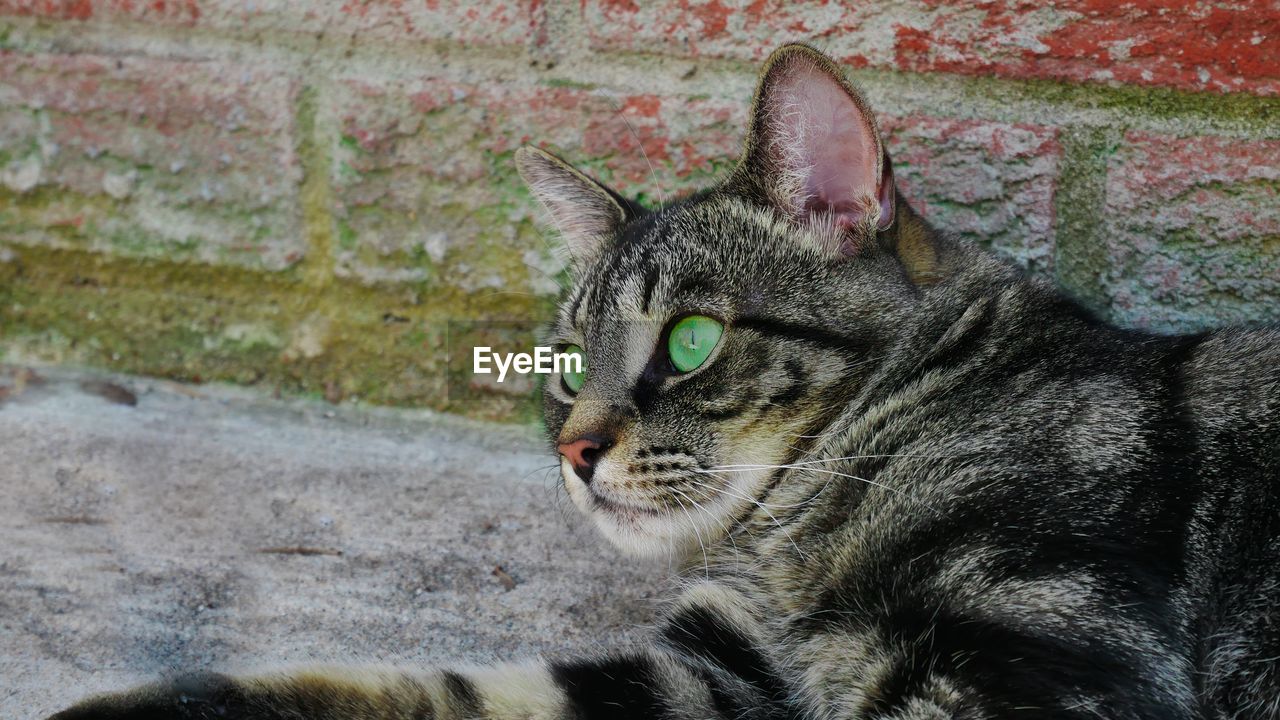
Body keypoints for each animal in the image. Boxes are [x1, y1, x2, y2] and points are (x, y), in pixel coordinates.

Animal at [47, 43, 1280, 717]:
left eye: (687, 343)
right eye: (562, 365)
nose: (571, 451)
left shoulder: (1041, 661)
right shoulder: (712, 670)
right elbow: (412, 690)